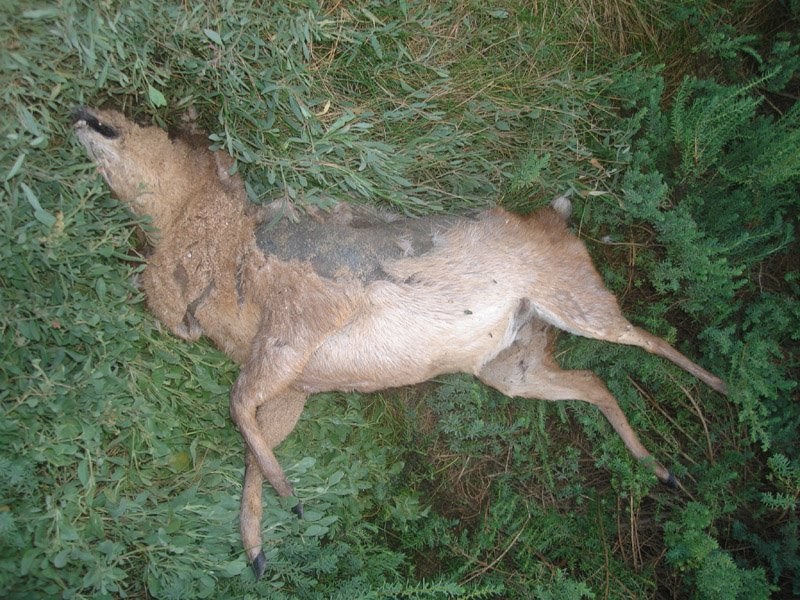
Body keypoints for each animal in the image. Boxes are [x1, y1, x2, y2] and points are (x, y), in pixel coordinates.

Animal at [72, 107, 728, 580]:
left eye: (169, 132)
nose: (86, 112)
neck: (224, 256)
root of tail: (557, 216)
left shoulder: (300, 324)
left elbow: (237, 408)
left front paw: (289, 500)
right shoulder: (294, 383)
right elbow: (251, 446)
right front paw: (260, 547)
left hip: (576, 300)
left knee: (644, 337)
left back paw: (722, 392)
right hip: (512, 366)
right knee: (593, 379)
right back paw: (662, 469)